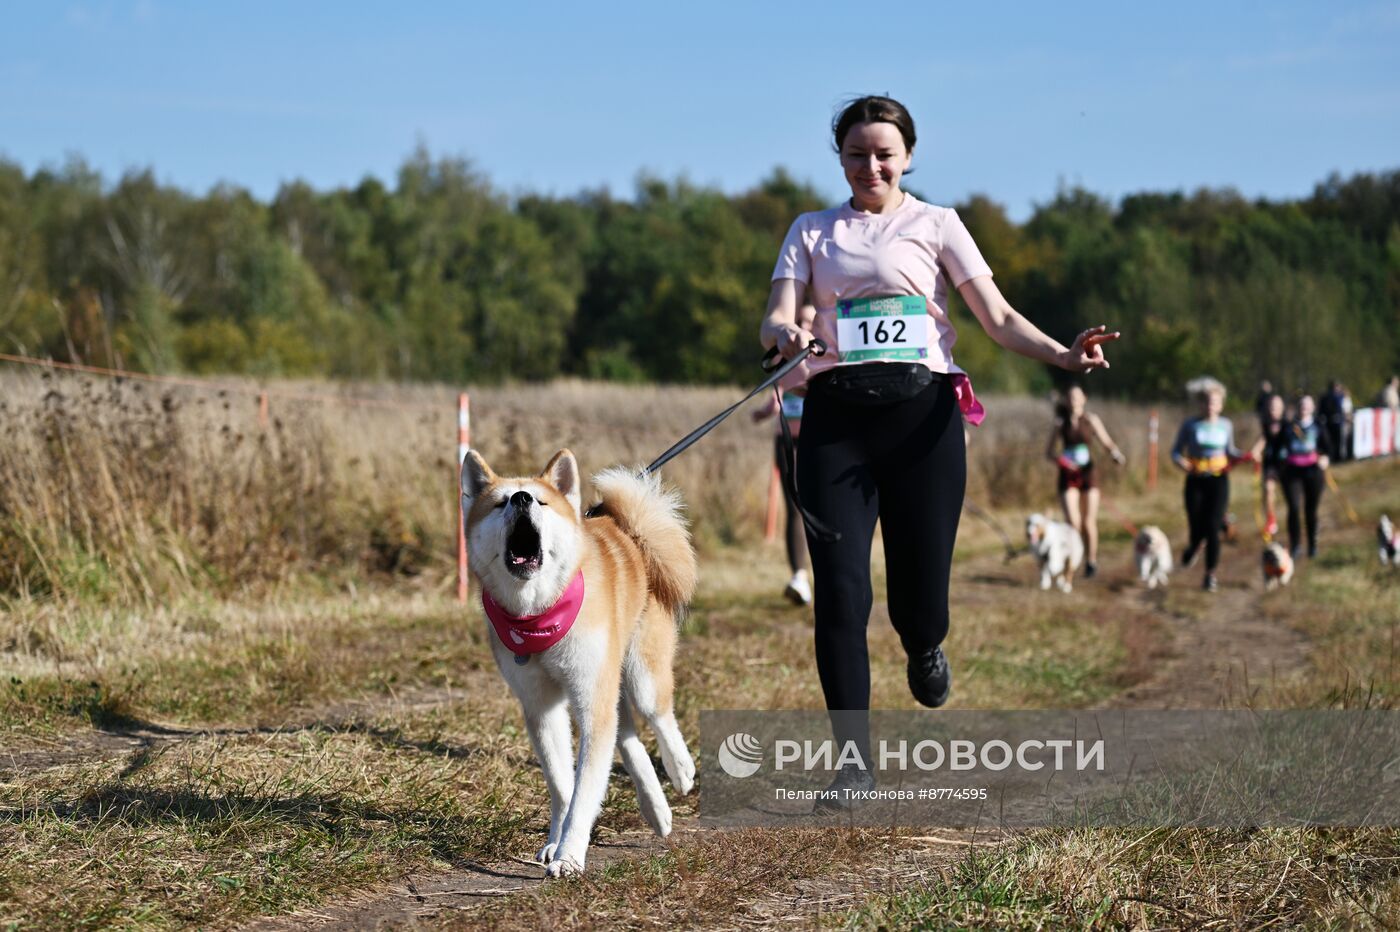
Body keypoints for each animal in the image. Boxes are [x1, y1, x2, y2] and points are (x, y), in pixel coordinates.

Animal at [462, 447, 697, 873]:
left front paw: (570, 854)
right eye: (500, 502)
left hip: (637, 674)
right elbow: (563, 785)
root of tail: (628, 532)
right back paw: (655, 808)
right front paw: (557, 841)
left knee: (658, 715)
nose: (521, 498)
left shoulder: (590, 698)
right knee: (627, 735)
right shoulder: (542, 707)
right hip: (606, 681)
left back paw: (681, 770)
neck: (539, 614)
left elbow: (586, 788)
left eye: (540, 501)